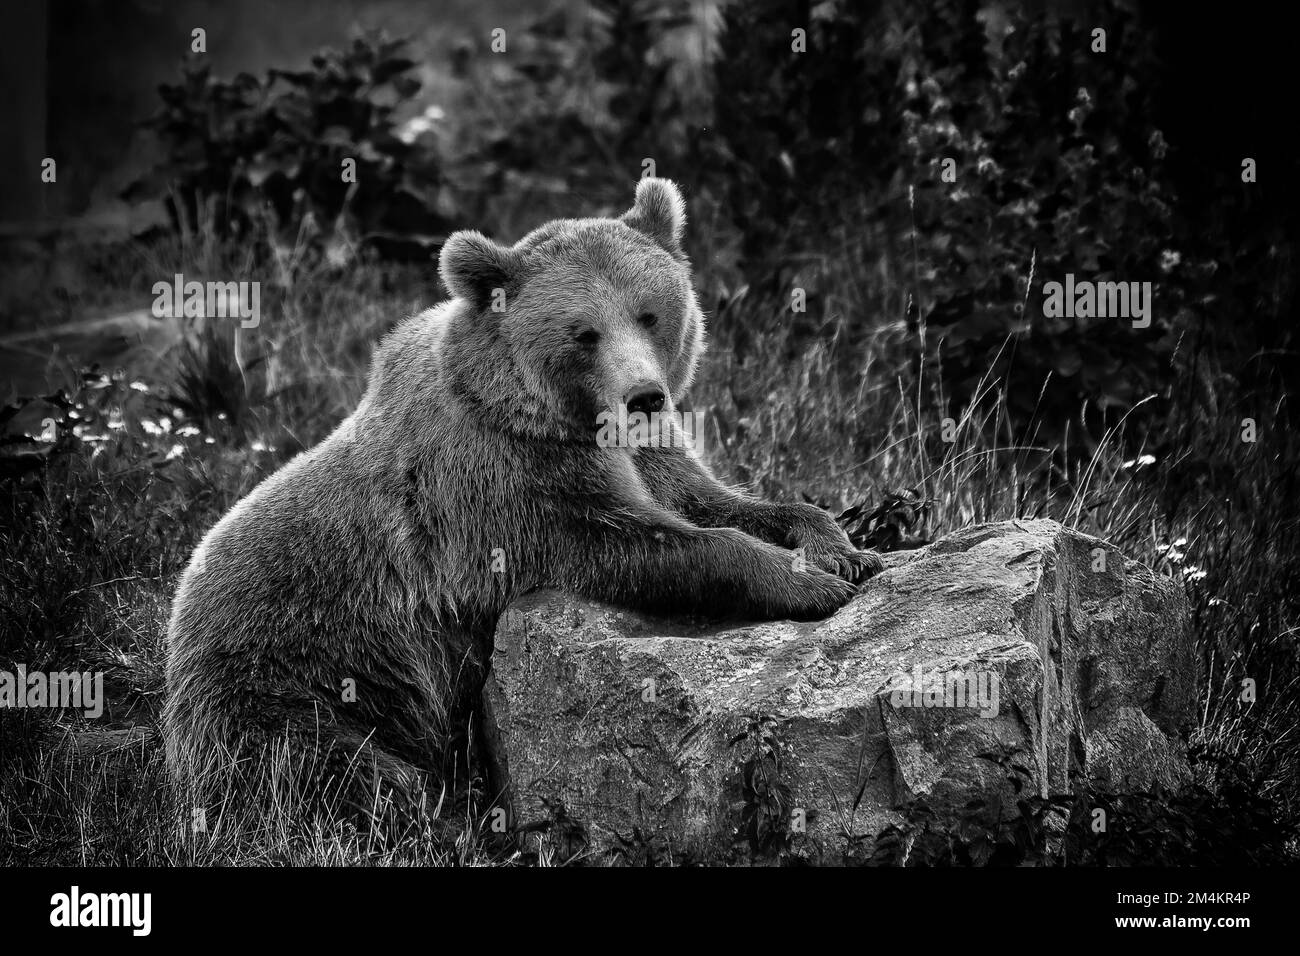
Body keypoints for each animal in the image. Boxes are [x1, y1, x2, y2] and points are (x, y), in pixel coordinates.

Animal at [159, 178, 873, 816]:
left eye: (649, 312)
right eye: (584, 332)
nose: (644, 396)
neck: (560, 419)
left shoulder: (648, 454)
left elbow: (710, 499)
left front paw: (837, 546)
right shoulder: (501, 486)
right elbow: (632, 542)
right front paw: (808, 584)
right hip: (285, 683)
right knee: (336, 771)